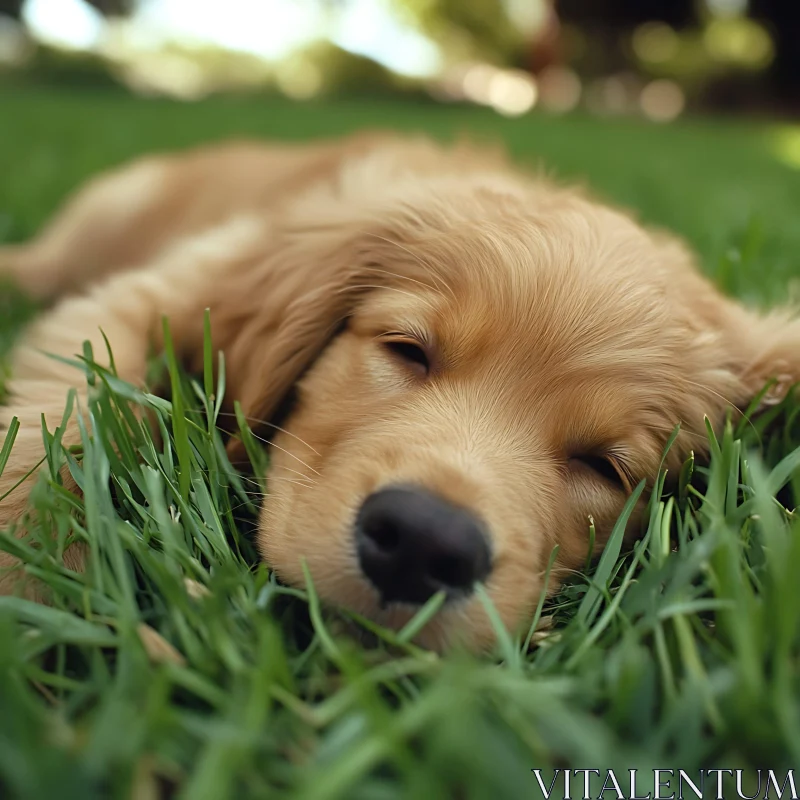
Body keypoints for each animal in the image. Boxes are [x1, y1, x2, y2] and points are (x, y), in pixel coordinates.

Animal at [1, 134, 800, 652]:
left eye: (604, 465)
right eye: (407, 351)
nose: (423, 542)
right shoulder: (153, 297)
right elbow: (61, 423)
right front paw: (25, 580)